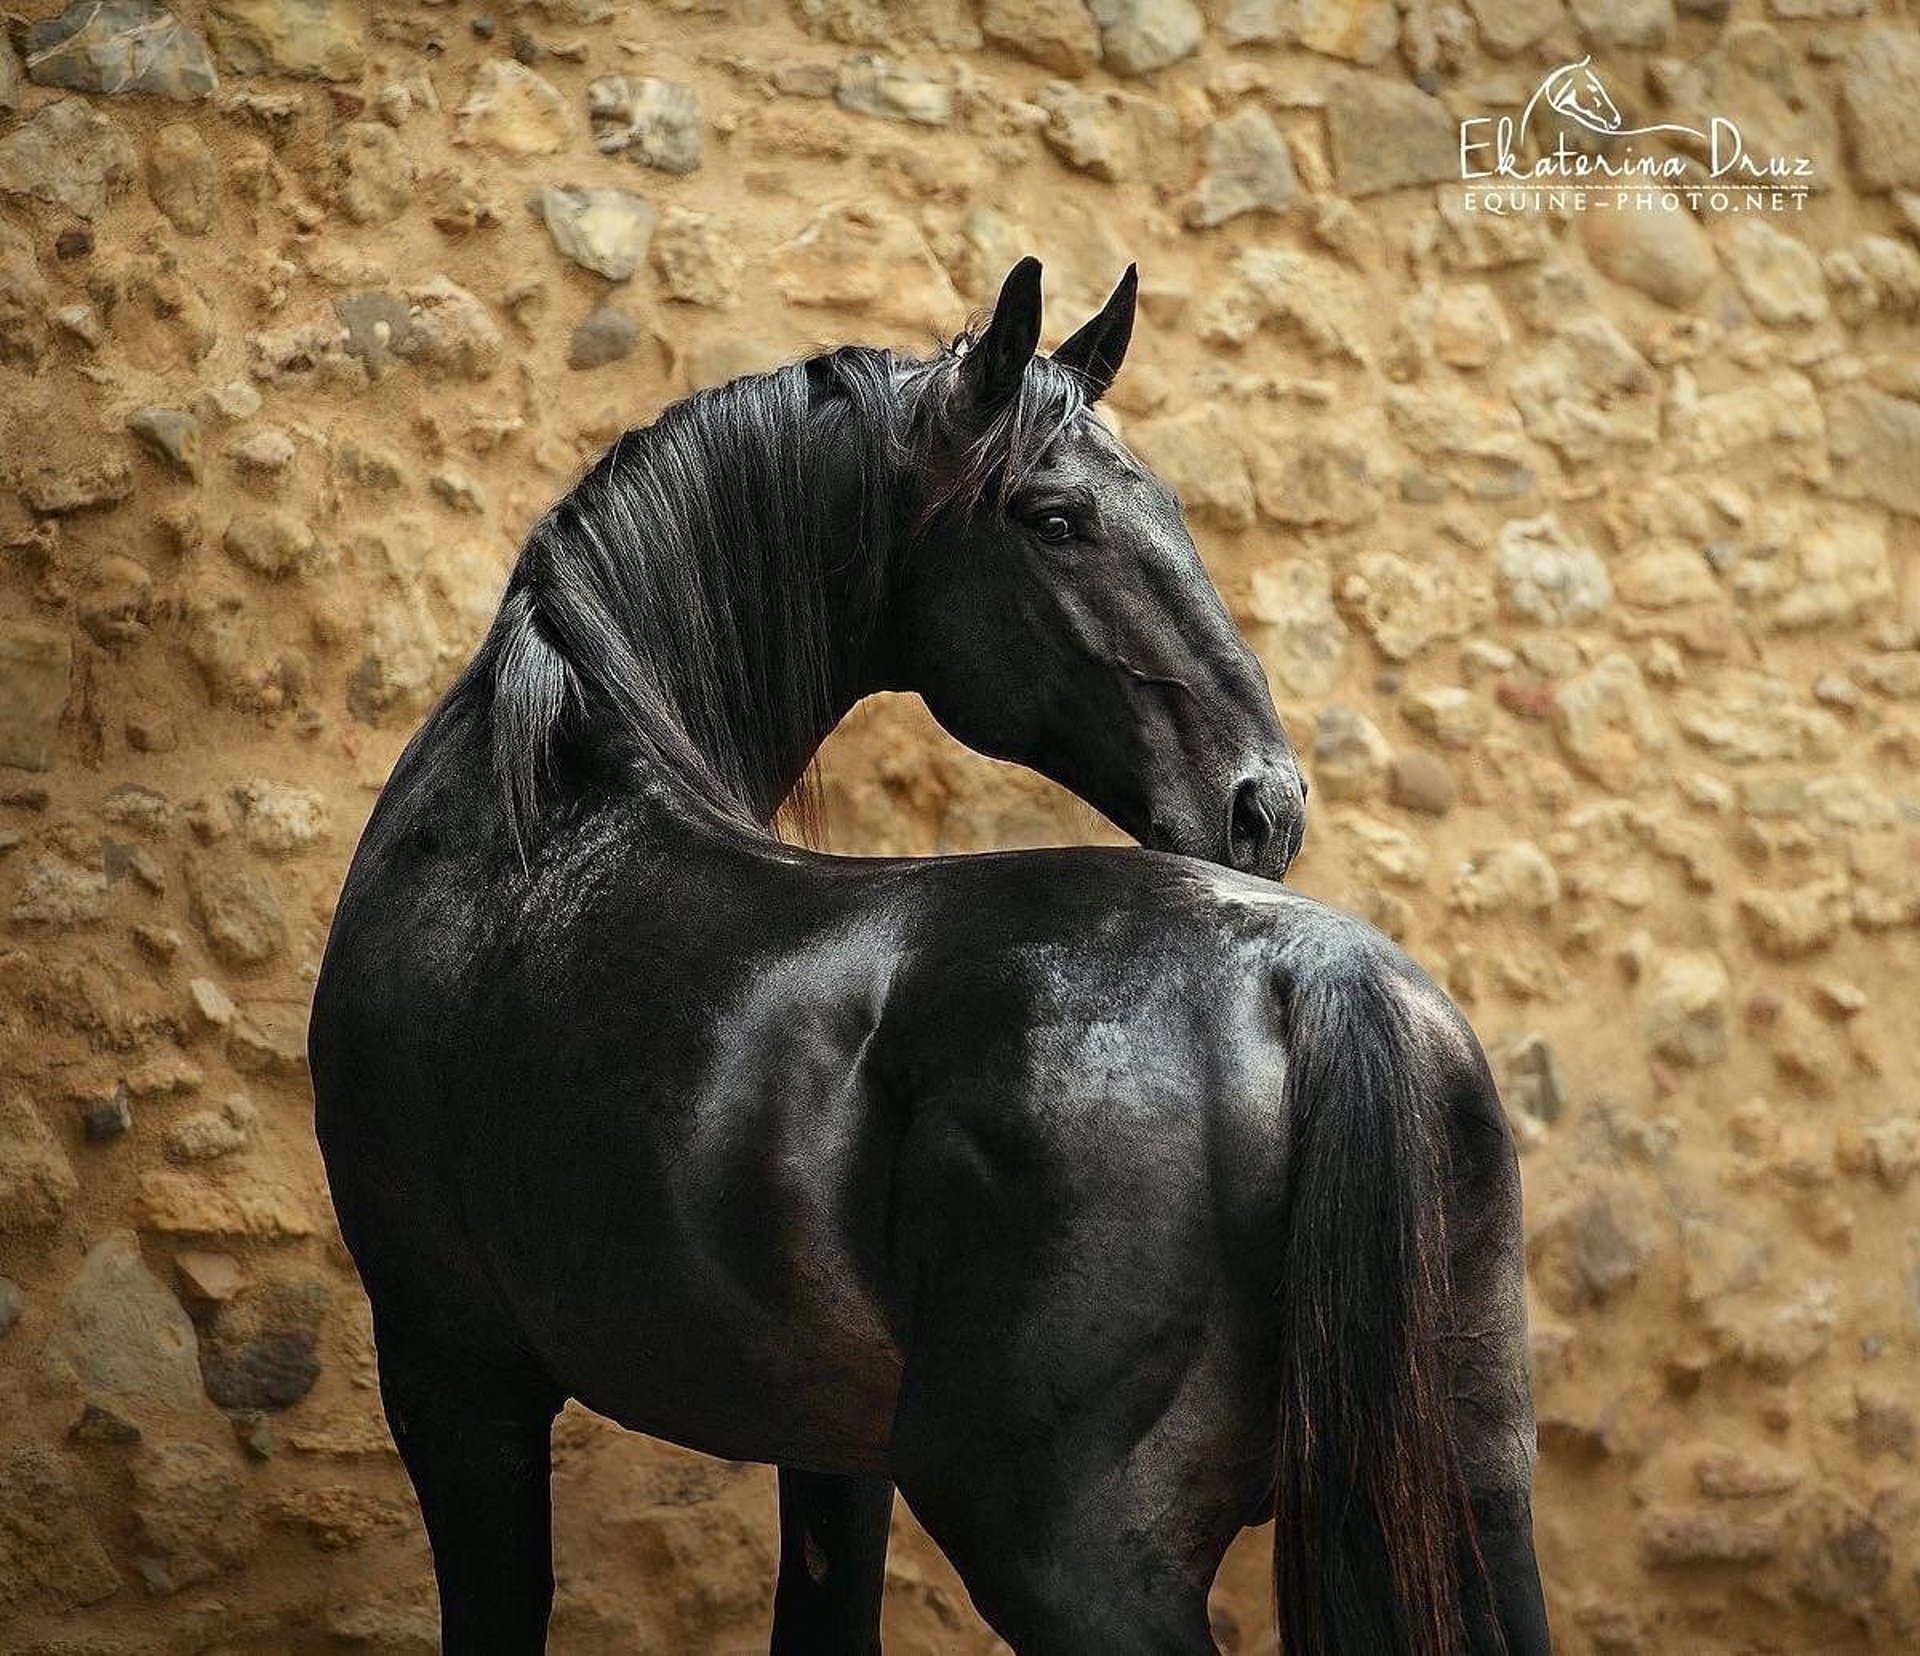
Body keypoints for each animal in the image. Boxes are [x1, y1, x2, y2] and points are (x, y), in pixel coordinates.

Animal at [307, 259, 1551, 1656]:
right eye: (1057, 519)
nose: (1263, 806)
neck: (532, 818)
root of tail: (1318, 980)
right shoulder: (834, 1447)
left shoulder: (454, 1374)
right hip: (1472, 1504)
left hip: (1057, 1548)